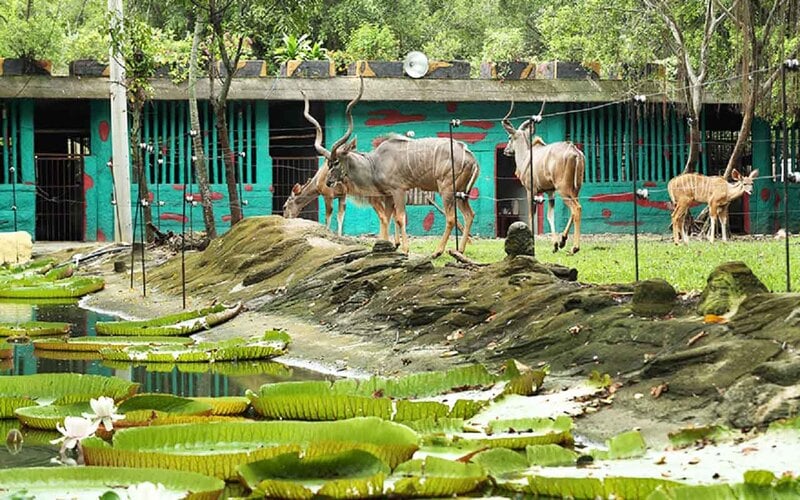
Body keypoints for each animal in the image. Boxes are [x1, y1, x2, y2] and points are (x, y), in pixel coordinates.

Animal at [306, 79, 482, 258]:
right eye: (328, 163)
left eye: (336, 162)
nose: (328, 182)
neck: (374, 164)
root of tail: (471, 158)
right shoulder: (388, 195)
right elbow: (387, 217)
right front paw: (387, 246)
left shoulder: (398, 191)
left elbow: (399, 217)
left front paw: (404, 249)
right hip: (460, 193)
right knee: (469, 215)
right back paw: (460, 250)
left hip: (447, 190)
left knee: (451, 218)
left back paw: (437, 252)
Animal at [504, 100, 584, 254]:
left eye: (510, 137)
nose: (506, 151)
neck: (526, 156)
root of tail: (575, 152)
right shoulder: (550, 192)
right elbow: (550, 216)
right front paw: (555, 245)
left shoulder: (531, 190)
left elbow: (531, 215)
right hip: (575, 190)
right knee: (574, 209)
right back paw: (563, 240)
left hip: (564, 190)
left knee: (576, 208)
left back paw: (575, 247)